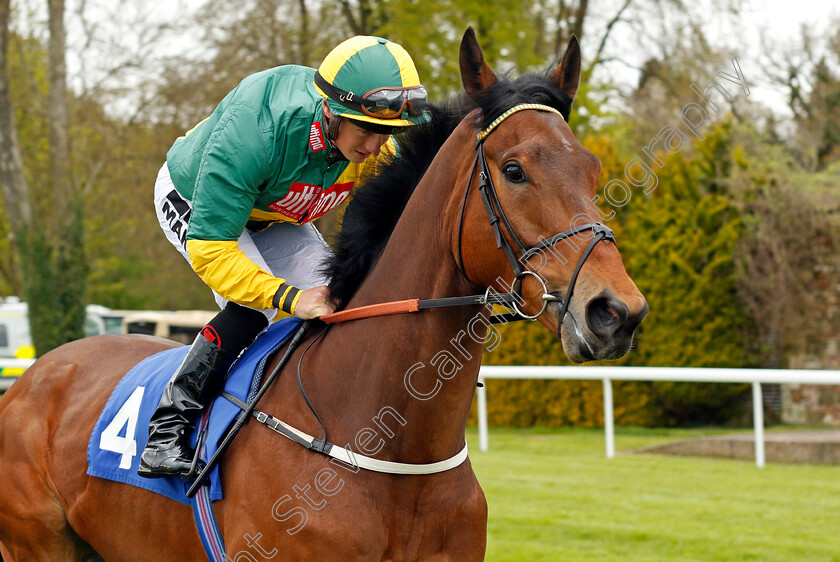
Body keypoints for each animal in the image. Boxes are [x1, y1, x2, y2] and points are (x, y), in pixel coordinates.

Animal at [0, 29, 648, 560]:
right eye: (514, 170)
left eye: (592, 169)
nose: (616, 312)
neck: (390, 442)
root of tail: (35, 375)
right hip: (36, 545)